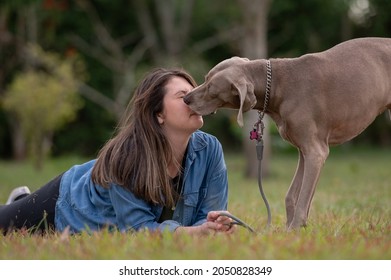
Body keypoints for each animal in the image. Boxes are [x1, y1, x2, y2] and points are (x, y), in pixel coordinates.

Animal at [185, 37, 391, 230]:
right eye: (205, 78)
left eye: (211, 89)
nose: (186, 98)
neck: (277, 85)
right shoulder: (304, 151)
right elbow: (292, 195)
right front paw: (288, 229)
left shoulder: (316, 151)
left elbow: (303, 198)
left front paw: (294, 228)